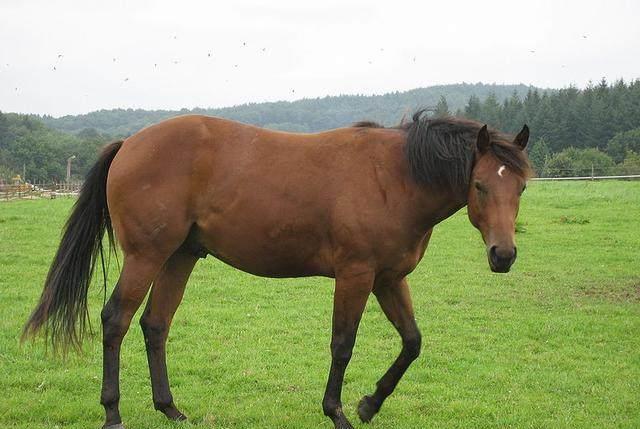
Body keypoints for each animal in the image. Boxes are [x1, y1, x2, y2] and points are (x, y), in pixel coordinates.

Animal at [23, 111, 531, 429]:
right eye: (480, 185)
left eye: (522, 186)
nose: (503, 255)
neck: (393, 177)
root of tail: (130, 143)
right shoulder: (356, 275)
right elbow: (342, 345)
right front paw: (337, 412)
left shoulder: (389, 279)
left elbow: (412, 342)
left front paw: (369, 404)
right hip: (147, 256)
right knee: (116, 321)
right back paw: (113, 412)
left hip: (179, 257)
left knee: (155, 324)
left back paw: (170, 409)